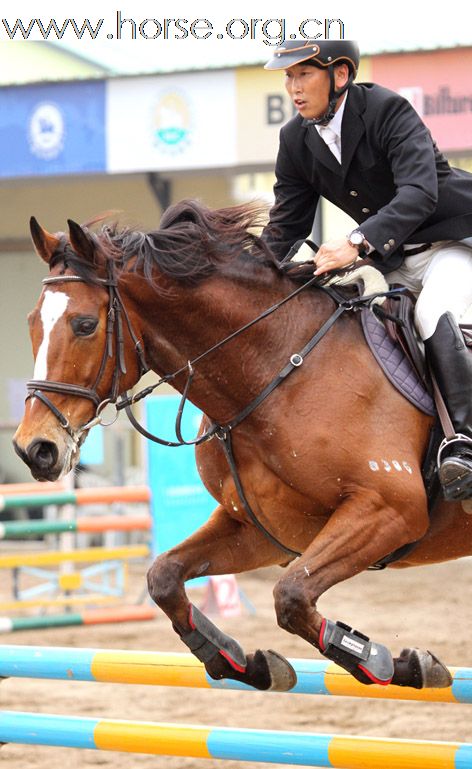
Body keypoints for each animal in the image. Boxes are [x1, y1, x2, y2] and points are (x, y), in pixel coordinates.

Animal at [12, 201, 468, 692]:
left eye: (85, 325)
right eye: (31, 323)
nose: (34, 449)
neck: (276, 370)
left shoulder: (390, 510)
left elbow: (291, 596)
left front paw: (391, 662)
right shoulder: (267, 530)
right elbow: (164, 577)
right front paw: (241, 661)